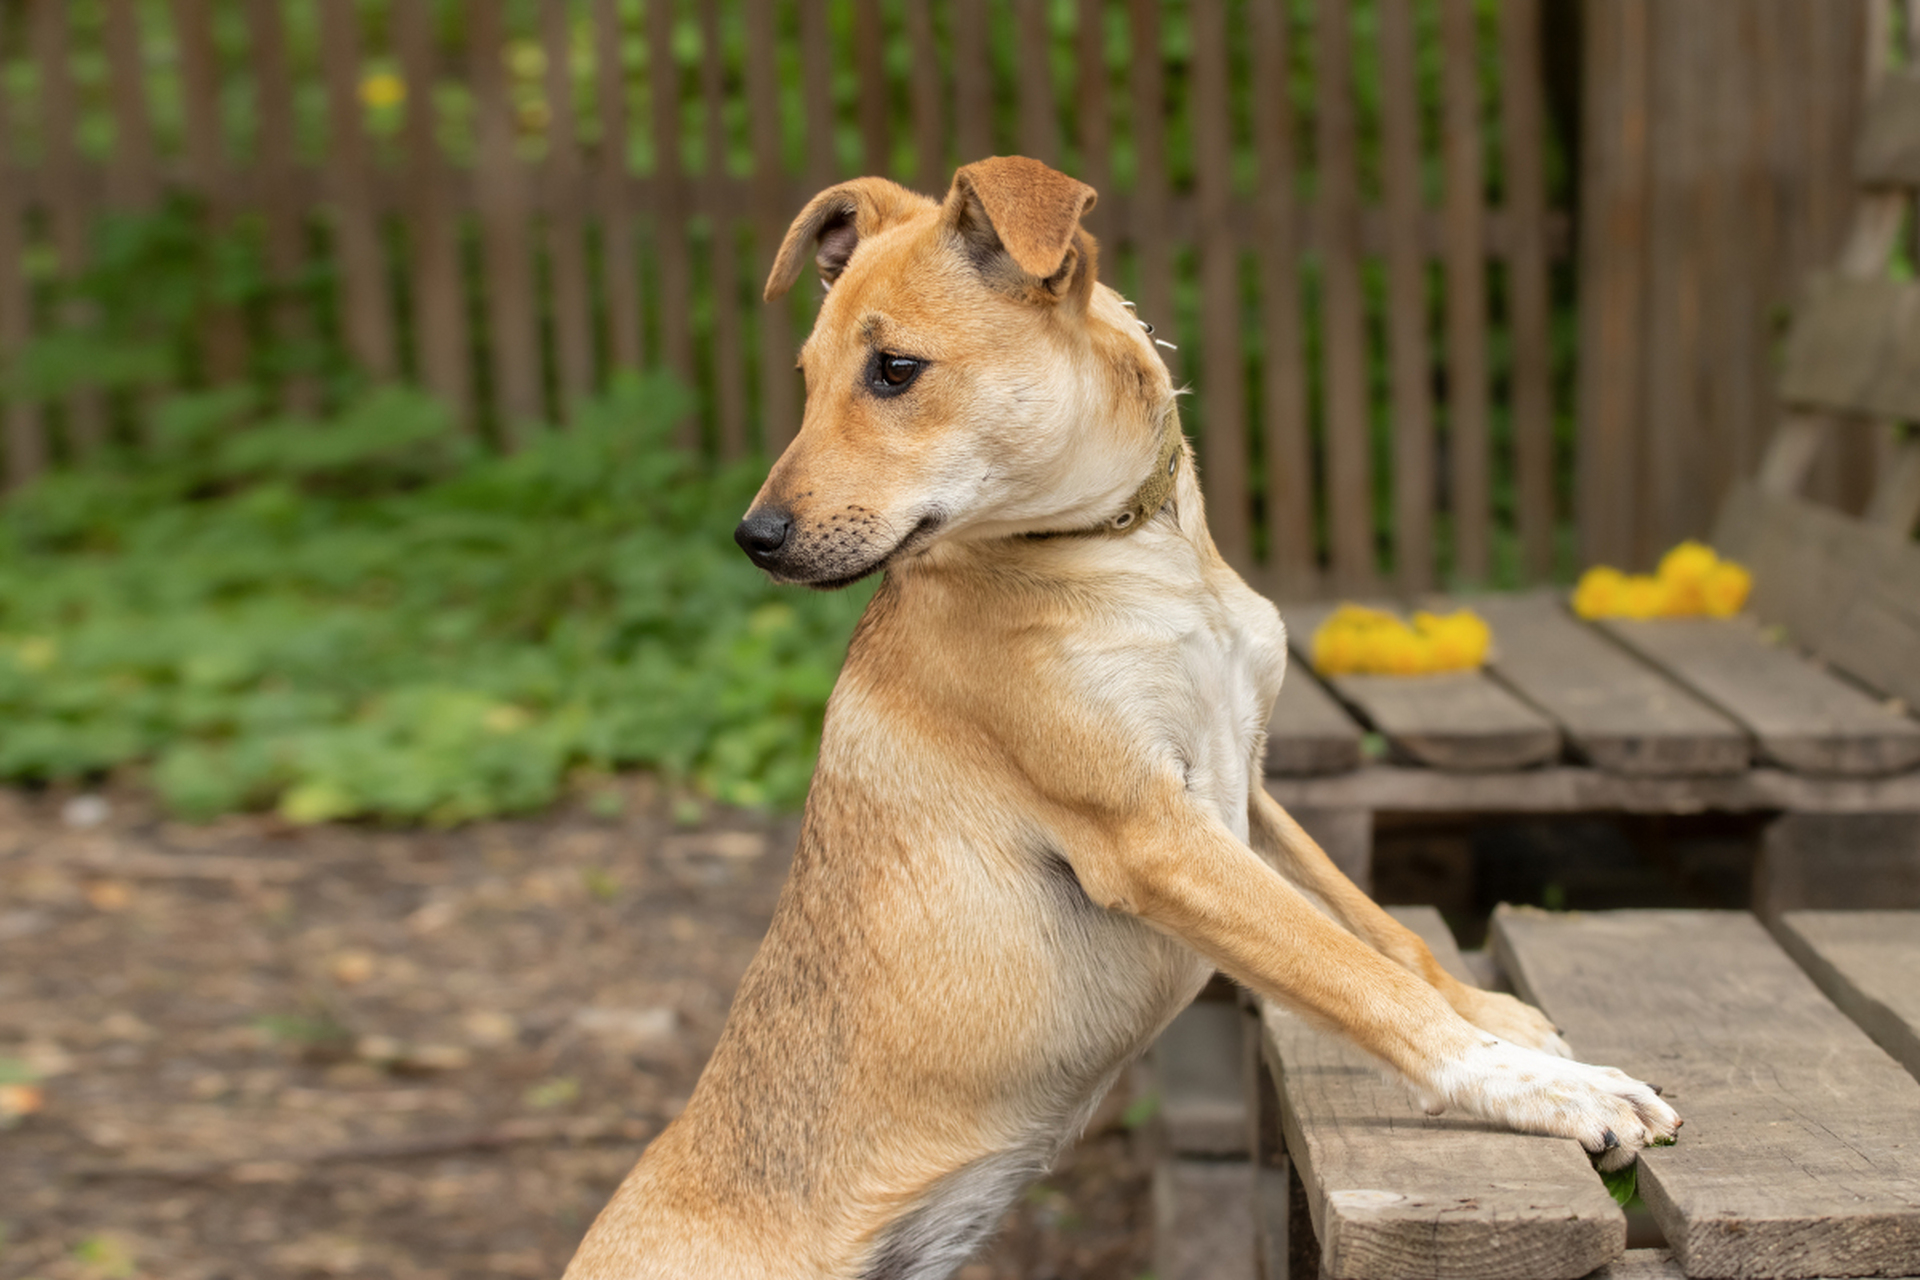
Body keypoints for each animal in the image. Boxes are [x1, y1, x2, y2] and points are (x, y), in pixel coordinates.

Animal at [560, 157, 1681, 1280]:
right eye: (808, 373)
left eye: (893, 370)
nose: (753, 538)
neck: (1125, 547)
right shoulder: (1156, 836)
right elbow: (1359, 977)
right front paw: (1548, 1092)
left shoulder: (1245, 796)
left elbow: (1378, 932)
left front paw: (1500, 1019)